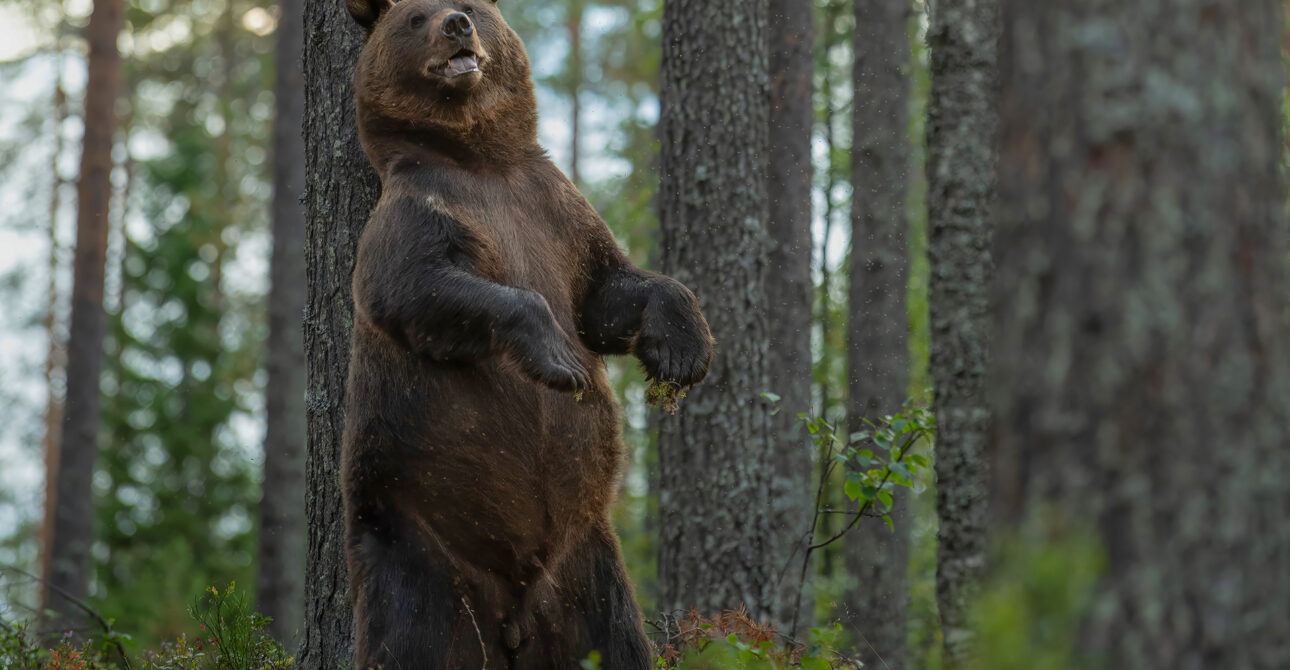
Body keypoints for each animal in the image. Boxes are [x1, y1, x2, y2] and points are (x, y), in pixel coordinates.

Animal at [338, 0, 715, 668]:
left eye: (473, 8)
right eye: (415, 18)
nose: (457, 24)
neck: (480, 159)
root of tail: (514, 610)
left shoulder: (558, 212)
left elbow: (608, 291)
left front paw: (680, 352)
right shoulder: (418, 213)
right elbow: (417, 286)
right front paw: (561, 361)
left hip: (587, 565)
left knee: (616, 638)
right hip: (414, 535)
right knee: (412, 634)